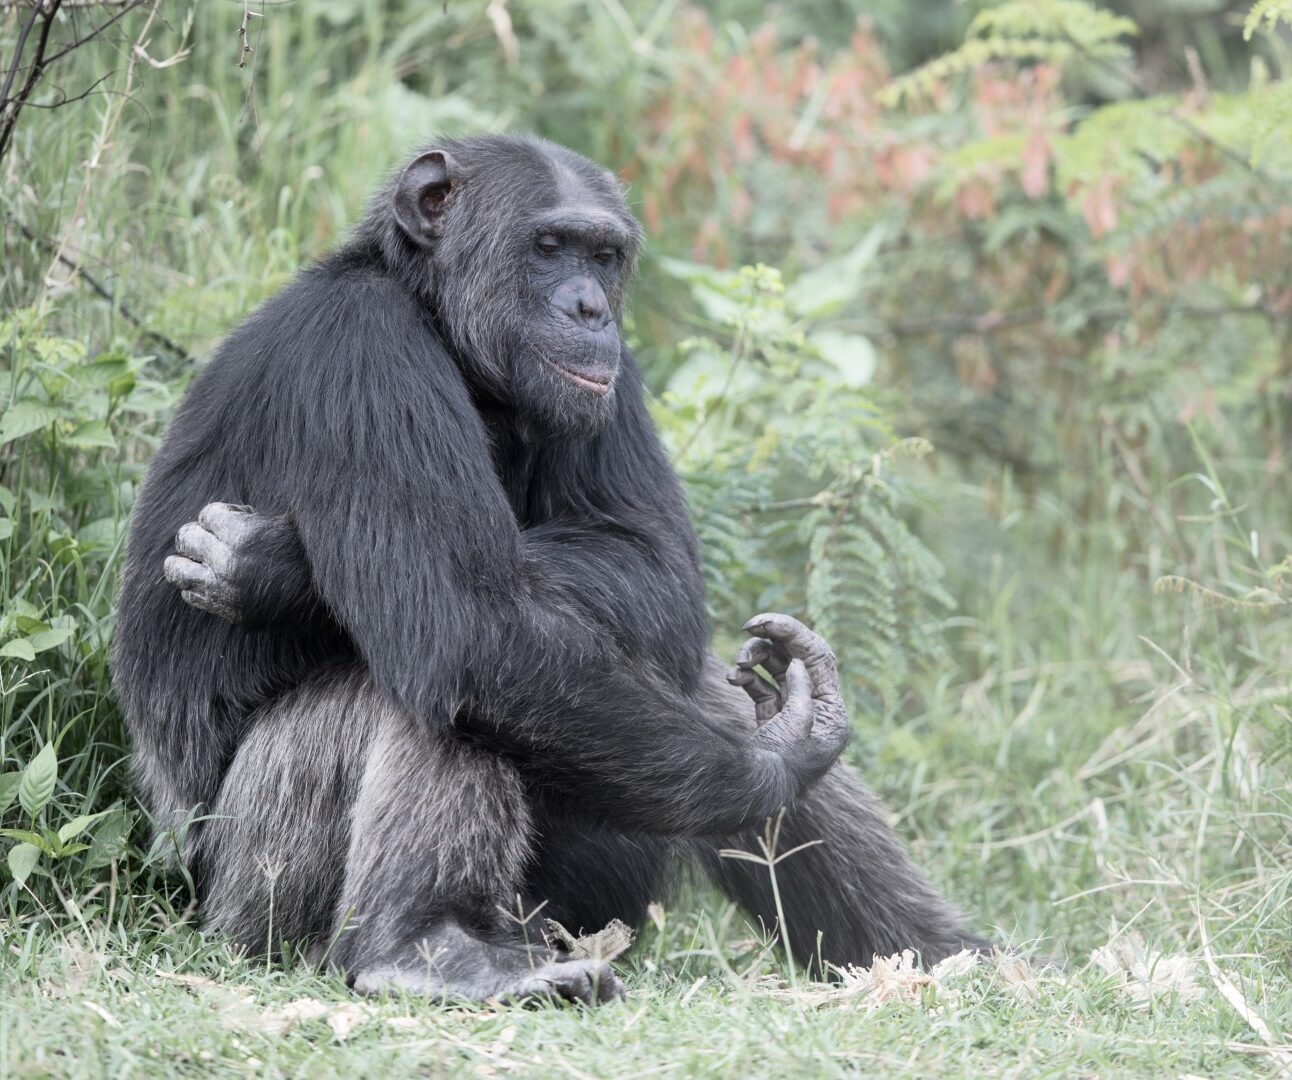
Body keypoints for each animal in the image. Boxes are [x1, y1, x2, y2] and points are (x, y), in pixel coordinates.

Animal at [113, 135, 987, 1002]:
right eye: (548, 247)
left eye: (603, 256)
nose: (590, 307)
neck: (439, 325)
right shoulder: (358, 349)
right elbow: (472, 623)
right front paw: (779, 755)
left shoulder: (613, 376)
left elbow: (649, 558)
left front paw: (270, 565)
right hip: (258, 894)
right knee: (448, 666)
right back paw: (424, 946)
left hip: (575, 905)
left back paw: (950, 957)